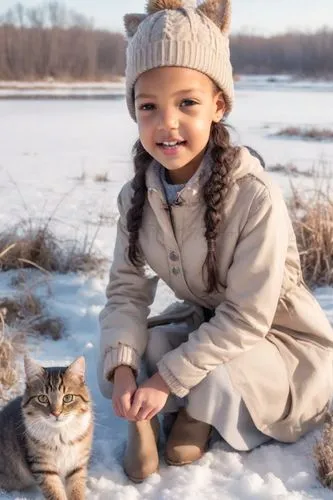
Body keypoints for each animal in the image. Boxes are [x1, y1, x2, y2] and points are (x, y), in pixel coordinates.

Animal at [0, 356, 93, 500]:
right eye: (42, 398)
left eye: (68, 398)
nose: (56, 413)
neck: (60, 435)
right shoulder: (43, 467)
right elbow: (55, 493)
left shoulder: (77, 464)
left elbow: (77, 490)